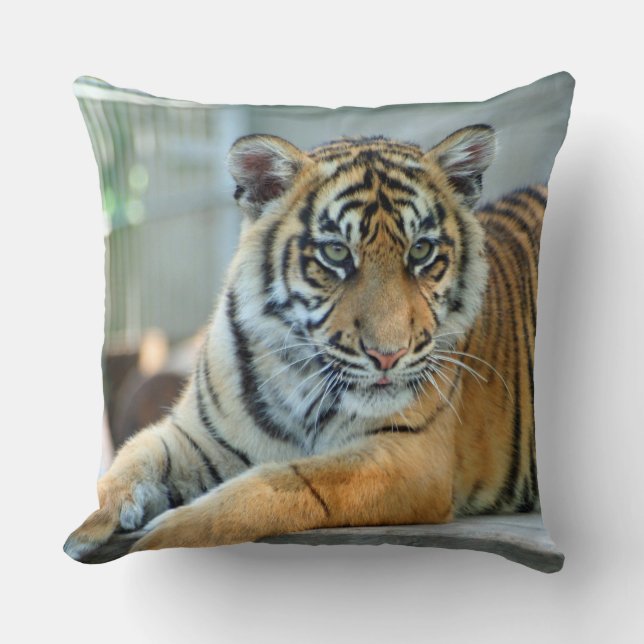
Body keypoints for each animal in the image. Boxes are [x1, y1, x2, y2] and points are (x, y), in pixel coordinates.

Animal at [64, 125, 546, 563]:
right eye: (336, 253)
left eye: (421, 251)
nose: (387, 355)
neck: (298, 376)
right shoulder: (198, 436)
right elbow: (133, 459)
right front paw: (89, 526)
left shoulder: (409, 456)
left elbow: (274, 489)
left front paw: (160, 535)